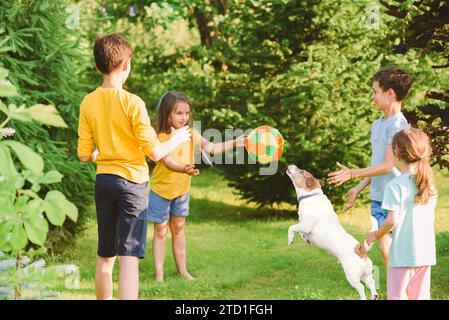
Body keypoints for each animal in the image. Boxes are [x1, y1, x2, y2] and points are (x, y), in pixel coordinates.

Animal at [286, 164, 376, 302]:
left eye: (301, 171)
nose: (291, 165)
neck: (311, 195)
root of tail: (361, 251)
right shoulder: (304, 226)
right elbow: (300, 232)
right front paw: (305, 238)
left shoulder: (306, 225)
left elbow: (292, 227)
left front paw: (290, 239)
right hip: (366, 274)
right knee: (371, 283)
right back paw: (375, 296)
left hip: (352, 276)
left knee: (361, 288)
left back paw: (363, 297)